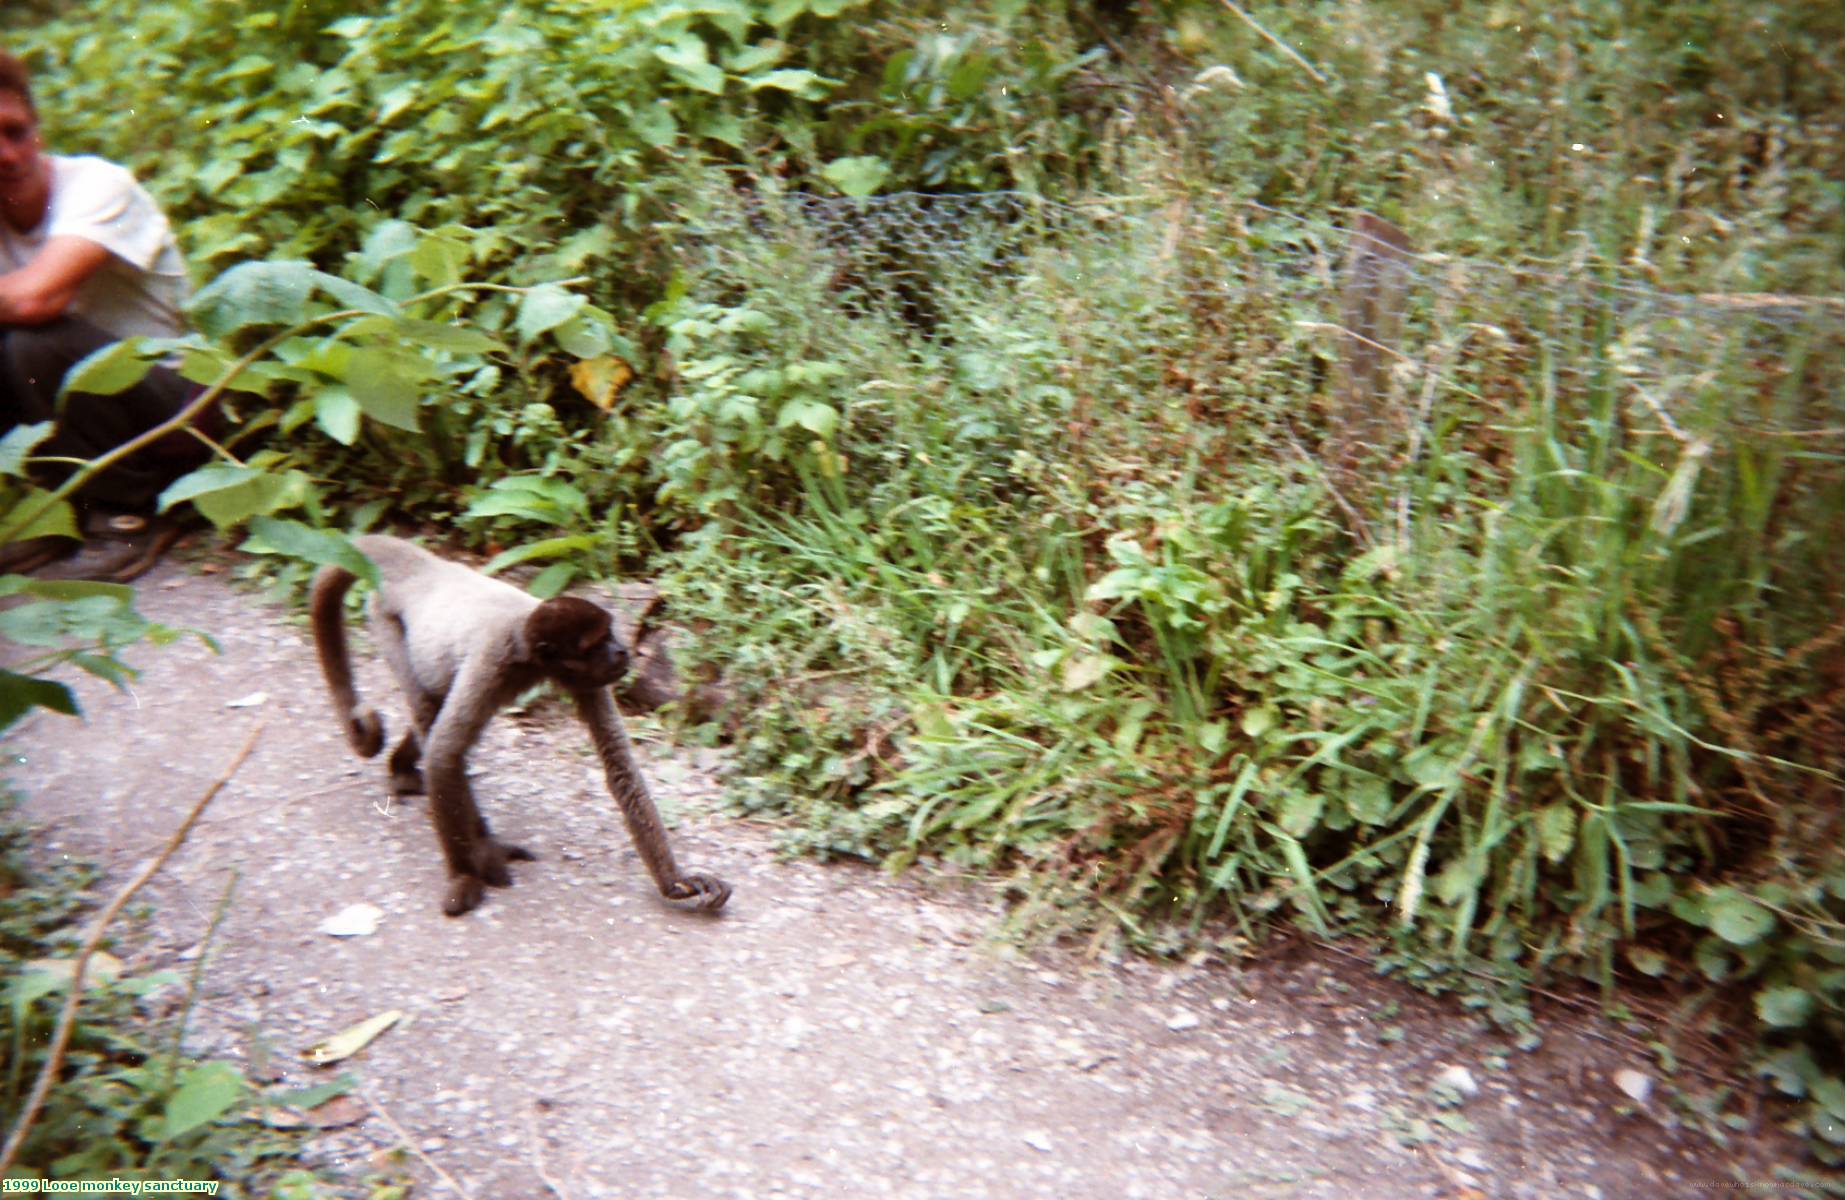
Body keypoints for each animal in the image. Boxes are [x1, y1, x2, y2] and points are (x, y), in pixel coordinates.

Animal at [308, 531, 726, 915]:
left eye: (611, 635)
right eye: (597, 645)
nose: (622, 651)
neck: (526, 648)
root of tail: (425, 567)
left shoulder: (586, 680)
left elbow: (620, 767)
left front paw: (674, 883)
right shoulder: (493, 660)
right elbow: (444, 754)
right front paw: (465, 875)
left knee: (436, 706)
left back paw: (402, 768)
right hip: (385, 620)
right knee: (431, 715)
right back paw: (480, 845)